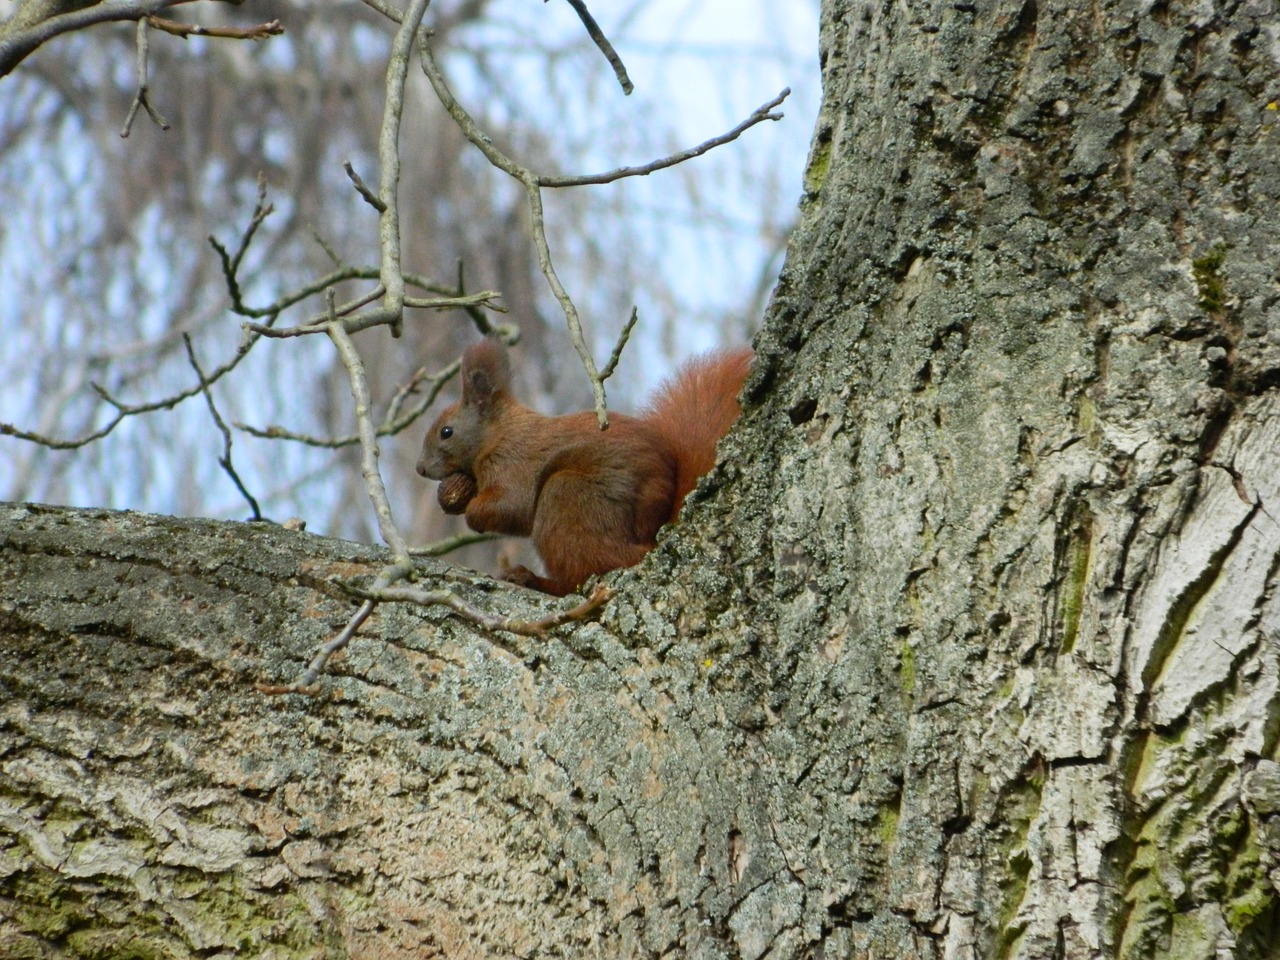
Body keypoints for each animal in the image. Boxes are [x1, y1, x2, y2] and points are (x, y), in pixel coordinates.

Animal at [414, 337, 752, 593]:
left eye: (446, 432)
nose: (420, 469)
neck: (497, 434)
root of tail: (647, 541)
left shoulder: (512, 462)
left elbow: (513, 506)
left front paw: (470, 512)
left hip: (567, 499)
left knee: (581, 576)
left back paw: (533, 579)